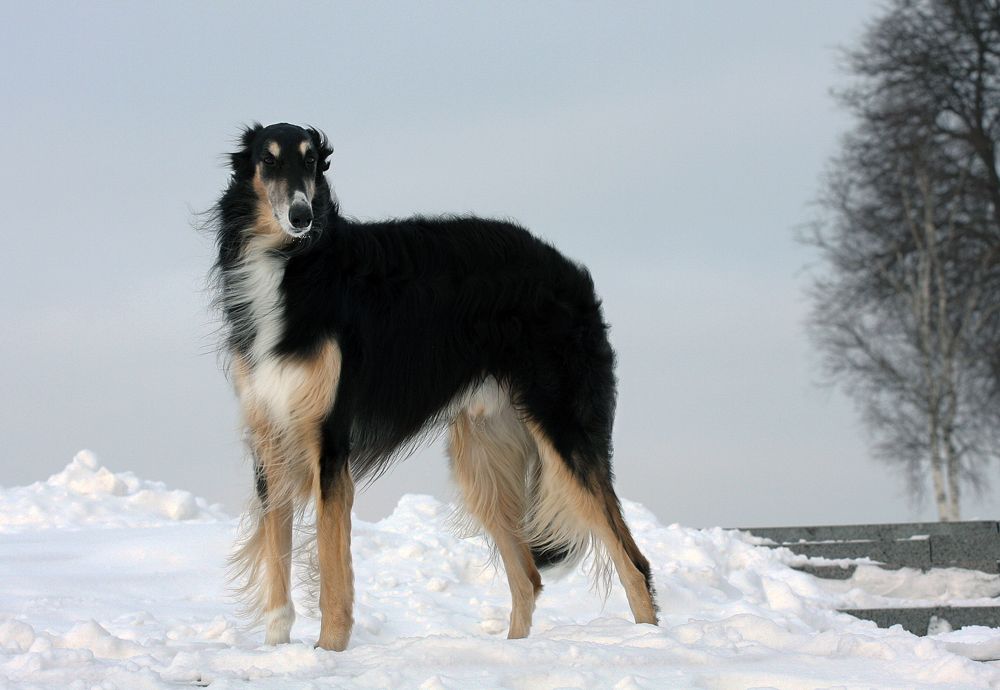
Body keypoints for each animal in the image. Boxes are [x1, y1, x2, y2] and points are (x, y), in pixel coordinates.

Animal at [211, 122, 656, 644]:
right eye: (269, 159)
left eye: (311, 160)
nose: (301, 216)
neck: (292, 264)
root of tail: (570, 271)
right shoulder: (271, 436)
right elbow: (277, 566)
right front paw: (278, 651)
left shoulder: (329, 439)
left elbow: (333, 576)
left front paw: (328, 651)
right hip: (482, 452)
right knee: (527, 577)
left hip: (563, 430)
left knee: (634, 564)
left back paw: (651, 642)